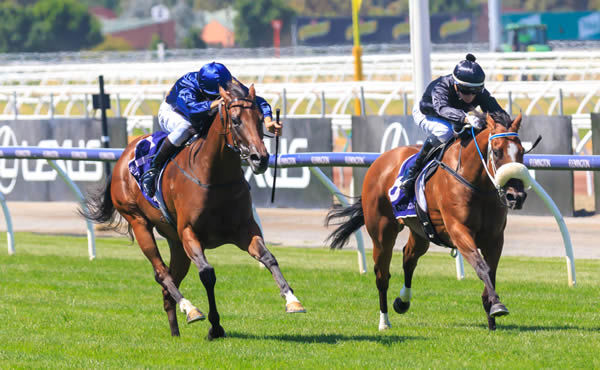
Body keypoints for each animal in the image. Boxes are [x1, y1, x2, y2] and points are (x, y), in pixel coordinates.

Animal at [82, 84, 308, 338]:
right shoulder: (190, 232)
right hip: (139, 222)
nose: (260, 158)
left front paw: (292, 300)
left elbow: (269, 258)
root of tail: (124, 154)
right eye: (236, 120)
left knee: (168, 285)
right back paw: (189, 308)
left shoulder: (244, 230)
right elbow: (207, 274)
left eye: (260, 119)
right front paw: (215, 326)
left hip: (176, 243)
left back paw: (175, 333)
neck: (214, 175)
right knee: (162, 273)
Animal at [326, 112, 528, 330]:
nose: (516, 196)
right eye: (497, 152)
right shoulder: (458, 230)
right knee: (382, 275)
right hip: (382, 233)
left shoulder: (495, 238)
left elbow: (490, 271)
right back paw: (384, 321)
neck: (476, 183)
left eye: (522, 151)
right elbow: (482, 266)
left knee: (409, 257)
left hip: (421, 231)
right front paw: (497, 305)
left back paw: (402, 301)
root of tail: (380, 160)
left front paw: (491, 316)